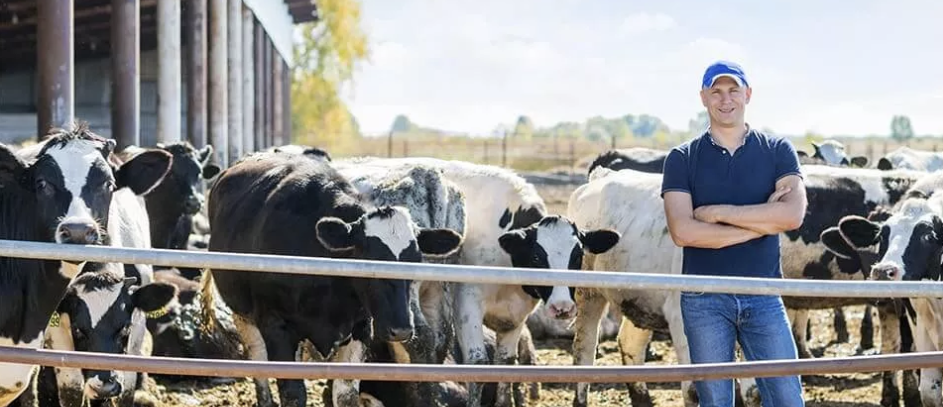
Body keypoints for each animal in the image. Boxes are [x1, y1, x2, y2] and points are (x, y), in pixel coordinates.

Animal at [198, 151, 464, 407]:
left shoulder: (360, 328)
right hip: (243, 313)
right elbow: (293, 394)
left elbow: (346, 394)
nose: (400, 329)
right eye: (369, 259)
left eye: (416, 260)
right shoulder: (276, 325)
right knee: (257, 354)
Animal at [333, 156, 620, 407]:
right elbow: (477, 363)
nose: (562, 307)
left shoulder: (514, 318)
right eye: (538, 256)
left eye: (578, 254)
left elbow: (505, 364)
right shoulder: (467, 303)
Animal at [565, 164, 926, 407]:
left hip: (639, 300)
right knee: (584, 351)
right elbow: (697, 388)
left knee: (630, 345)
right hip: (588, 295)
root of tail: (602, 175)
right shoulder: (683, 318)